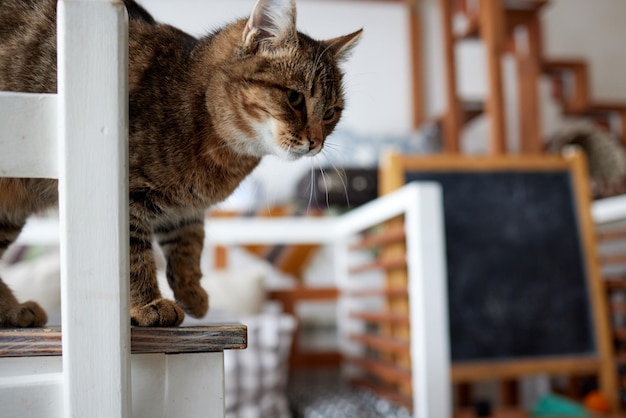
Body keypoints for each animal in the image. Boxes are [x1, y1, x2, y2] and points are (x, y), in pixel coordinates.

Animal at [0, 0, 360, 326]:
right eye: (295, 98)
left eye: (331, 112)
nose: (315, 142)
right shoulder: (125, 201)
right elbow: (134, 257)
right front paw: (148, 304)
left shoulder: (184, 209)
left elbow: (189, 247)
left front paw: (192, 293)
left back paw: (14, 312)